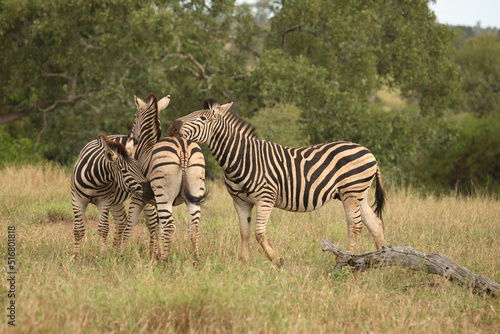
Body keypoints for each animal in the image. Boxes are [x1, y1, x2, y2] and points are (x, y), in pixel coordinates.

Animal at [121, 93, 207, 264]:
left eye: (135, 116)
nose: (129, 136)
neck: (146, 146)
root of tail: (183, 148)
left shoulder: (139, 197)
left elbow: (132, 224)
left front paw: (119, 254)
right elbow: (157, 227)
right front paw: (156, 254)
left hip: (164, 195)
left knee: (169, 226)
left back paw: (165, 261)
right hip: (194, 190)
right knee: (194, 226)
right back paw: (196, 260)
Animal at [168, 101, 386, 266]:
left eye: (203, 118)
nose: (172, 127)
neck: (243, 158)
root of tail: (368, 152)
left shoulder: (265, 198)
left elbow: (259, 233)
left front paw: (276, 259)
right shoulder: (240, 201)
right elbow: (244, 232)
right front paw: (242, 262)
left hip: (351, 193)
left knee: (355, 226)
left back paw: (347, 261)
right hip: (358, 195)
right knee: (375, 224)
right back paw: (380, 260)